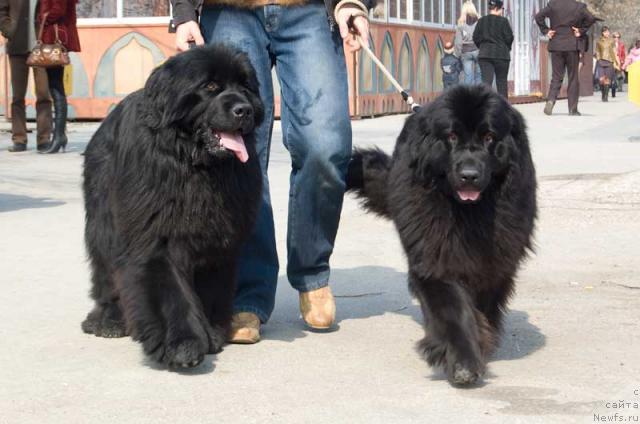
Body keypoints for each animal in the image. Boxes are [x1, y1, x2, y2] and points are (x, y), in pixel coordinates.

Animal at [80, 44, 264, 370]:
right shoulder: (155, 234)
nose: (245, 109)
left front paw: (211, 334)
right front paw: (183, 344)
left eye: (246, 87)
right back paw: (108, 320)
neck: (196, 166)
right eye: (210, 87)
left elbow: (210, 285)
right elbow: (168, 290)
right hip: (103, 222)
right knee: (105, 270)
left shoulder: (217, 238)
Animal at [348, 86, 536, 388]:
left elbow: (482, 302)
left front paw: (480, 344)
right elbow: (453, 310)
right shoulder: (433, 256)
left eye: (489, 137)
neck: (468, 214)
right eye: (451, 137)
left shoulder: (495, 263)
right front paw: (463, 363)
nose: (469, 175)